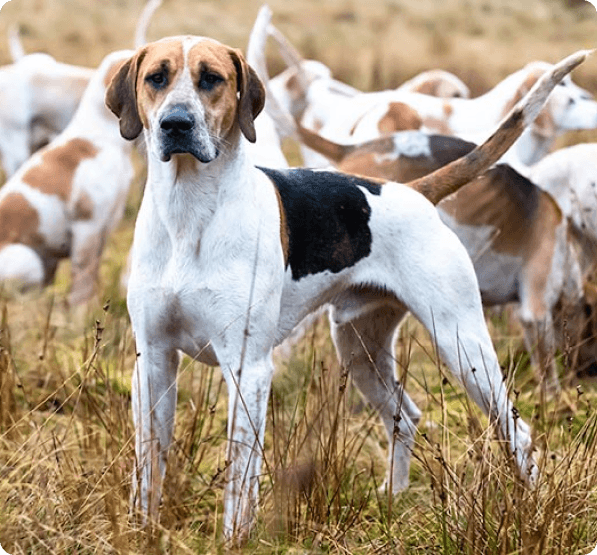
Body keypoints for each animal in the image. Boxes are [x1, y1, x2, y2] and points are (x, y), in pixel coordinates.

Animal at [0, 48, 135, 304]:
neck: (101, 138)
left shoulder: (104, 227)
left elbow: (91, 278)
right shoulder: (87, 227)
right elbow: (82, 283)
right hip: (29, 260)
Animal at [103, 34, 588, 544]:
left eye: (211, 79)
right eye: (157, 77)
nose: (176, 123)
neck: (189, 215)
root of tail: (414, 191)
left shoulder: (247, 369)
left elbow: (240, 473)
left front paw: (235, 540)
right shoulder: (153, 360)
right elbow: (148, 465)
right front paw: (141, 531)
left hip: (463, 346)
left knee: (518, 432)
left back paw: (531, 509)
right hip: (359, 347)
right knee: (405, 418)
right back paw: (393, 497)